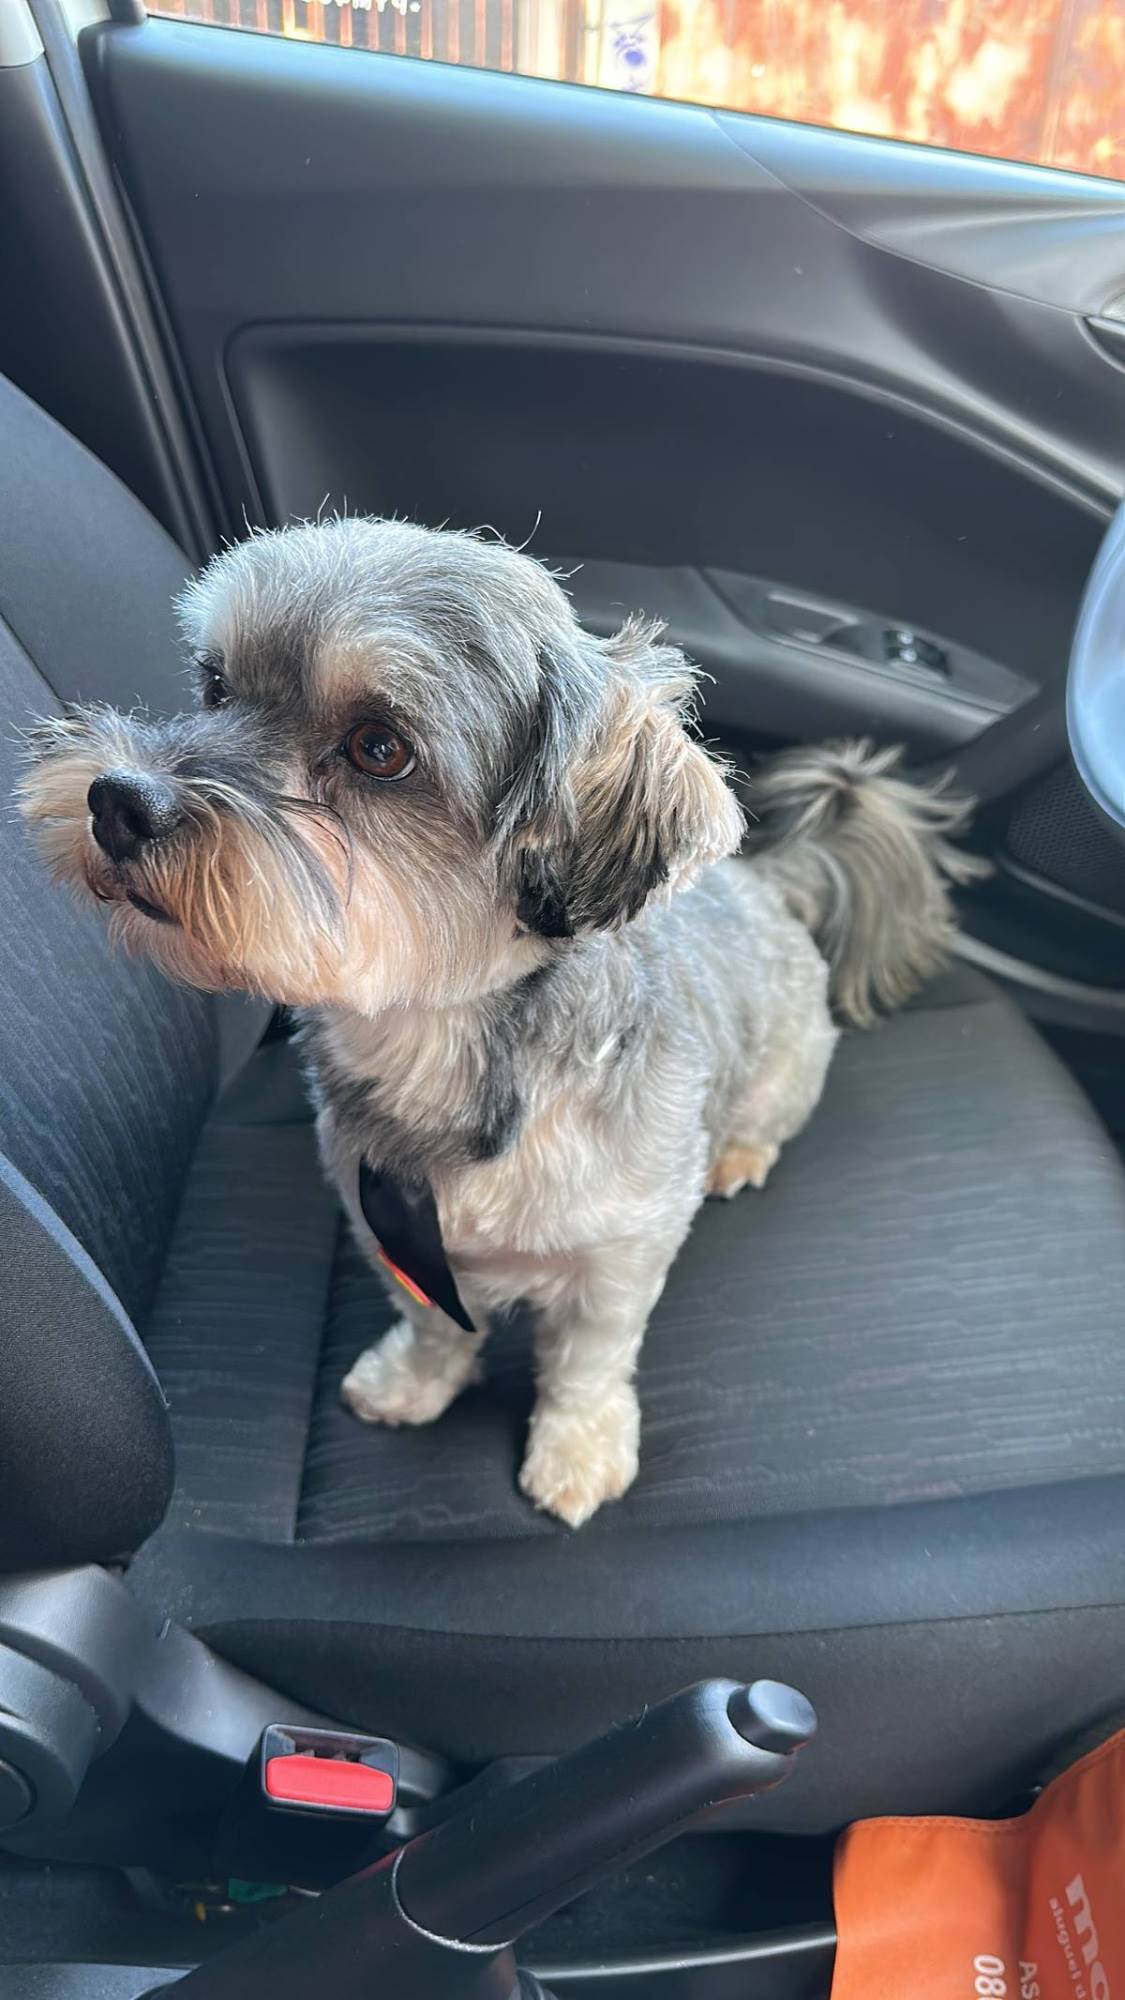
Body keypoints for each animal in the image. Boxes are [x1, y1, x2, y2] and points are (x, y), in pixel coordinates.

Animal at [18, 518, 980, 1526]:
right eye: (213, 686)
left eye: (379, 747)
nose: (119, 801)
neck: (439, 1045)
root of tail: (764, 880)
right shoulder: (385, 1221)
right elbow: (432, 1322)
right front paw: (415, 1381)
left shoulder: (620, 1253)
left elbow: (590, 1361)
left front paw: (577, 1447)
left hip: (783, 1068)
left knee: (764, 1119)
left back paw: (740, 1155)